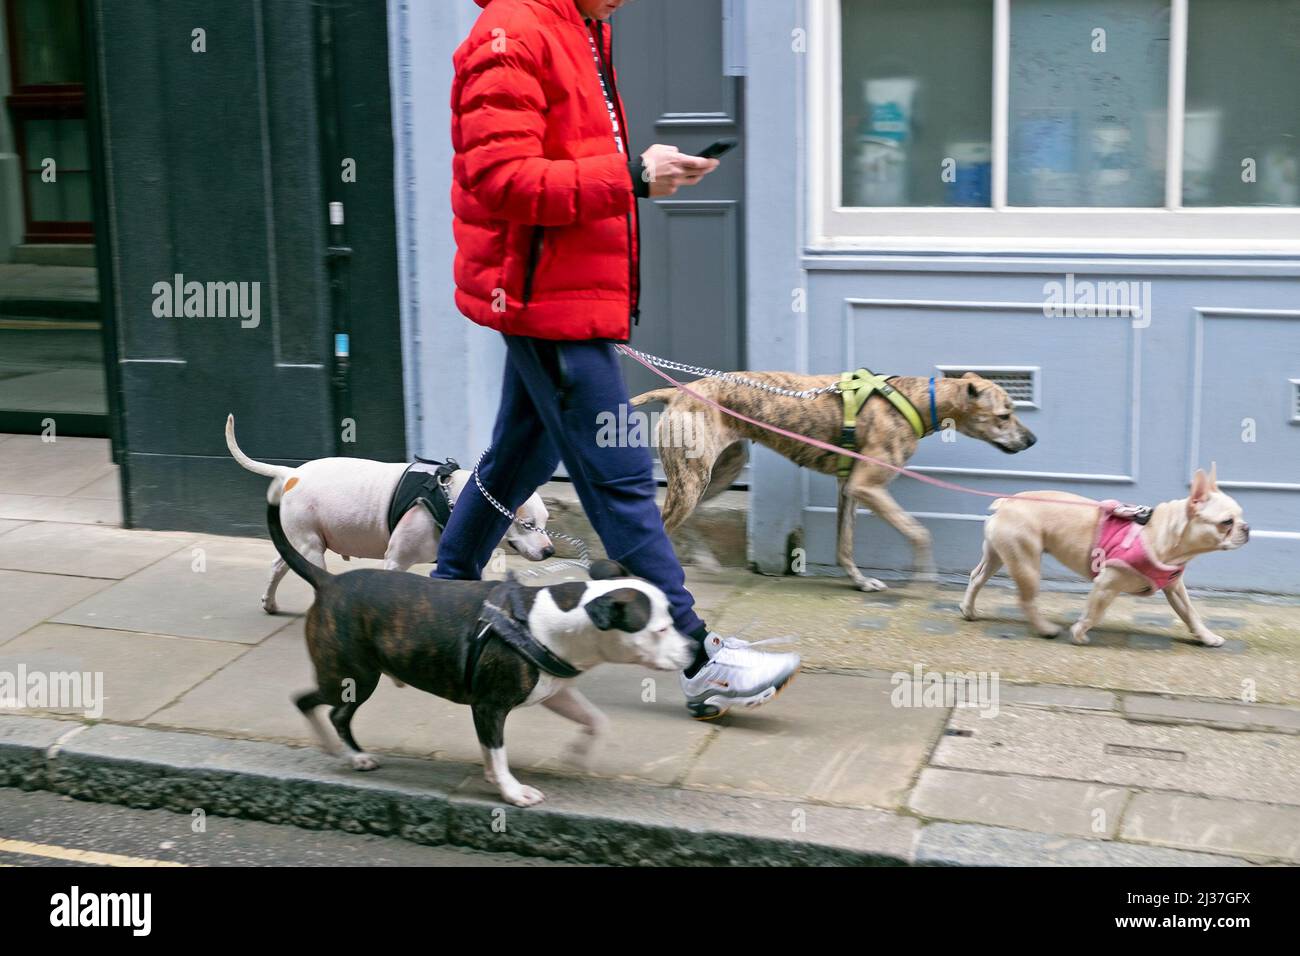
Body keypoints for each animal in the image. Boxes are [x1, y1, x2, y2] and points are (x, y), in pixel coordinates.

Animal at [226, 413, 551, 613]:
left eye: (545, 522)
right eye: (527, 524)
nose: (549, 550)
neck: (452, 498)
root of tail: (292, 474)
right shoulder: (395, 560)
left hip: (298, 542)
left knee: (278, 565)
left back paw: (270, 603)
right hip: (310, 546)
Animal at [629, 374, 1034, 590]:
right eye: (1004, 415)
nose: (1032, 440)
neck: (916, 399)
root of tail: (678, 391)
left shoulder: (850, 489)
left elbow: (845, 545)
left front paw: (861, 582)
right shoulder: (868, 487)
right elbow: (919, 532)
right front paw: (923, 580)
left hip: (719, 472)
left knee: (683, 519)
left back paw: (700, 559)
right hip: (693, 477)